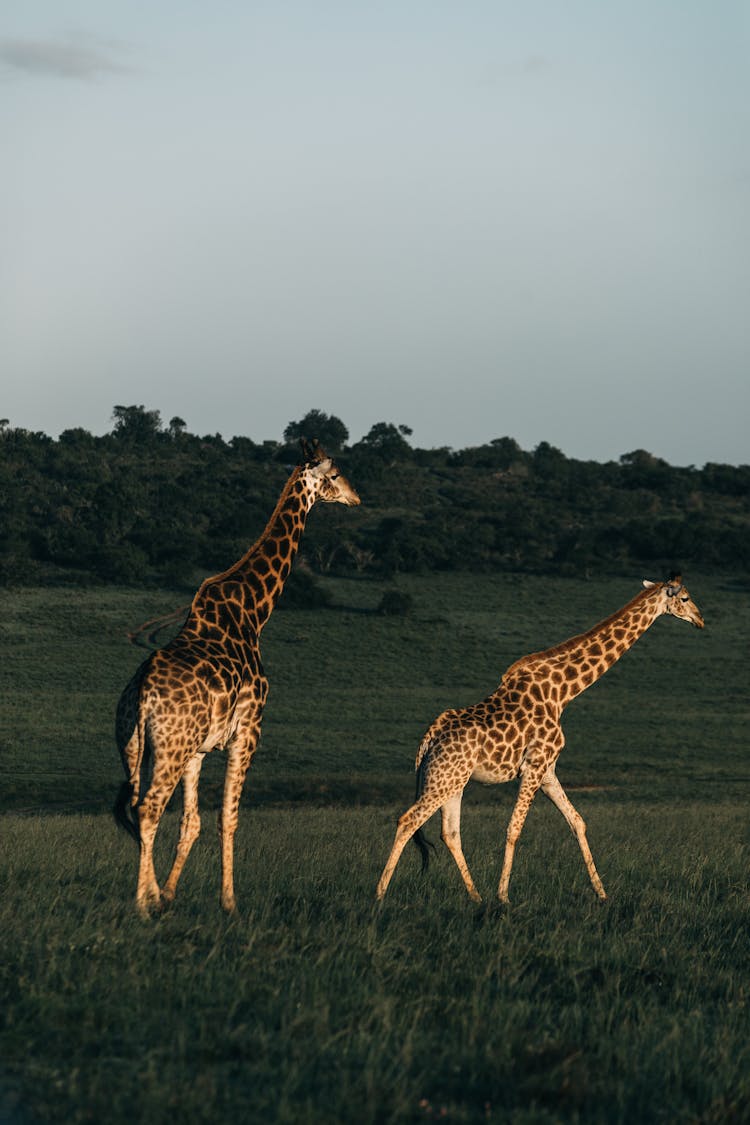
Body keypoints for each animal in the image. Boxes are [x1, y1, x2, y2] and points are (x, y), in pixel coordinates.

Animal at [113, 438, 359, 913]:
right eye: (336, 474)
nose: (356, 498)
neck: (255, 612)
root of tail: (142, 694)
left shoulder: (198, 749)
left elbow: (192, 822)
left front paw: (170, 893)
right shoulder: (248, 730)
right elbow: (229, 817)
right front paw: (229, 901)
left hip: (135, 746)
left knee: (136, 805)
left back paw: (151, 896)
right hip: (168, 747)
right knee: (149, 808)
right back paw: (140, 903)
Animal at [377, 576, 706, 909]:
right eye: (686, 598)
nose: (700, 620)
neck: (563, 692)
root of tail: (430, 737)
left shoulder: (547, 770)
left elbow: (577, 821)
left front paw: (601, 892)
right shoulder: (534, 767)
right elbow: (514, 828)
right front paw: (504, 896)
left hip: (453, 780)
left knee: (450, 833)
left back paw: (475, 896)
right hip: (443, 779)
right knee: (408, 820)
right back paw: (380, 895)